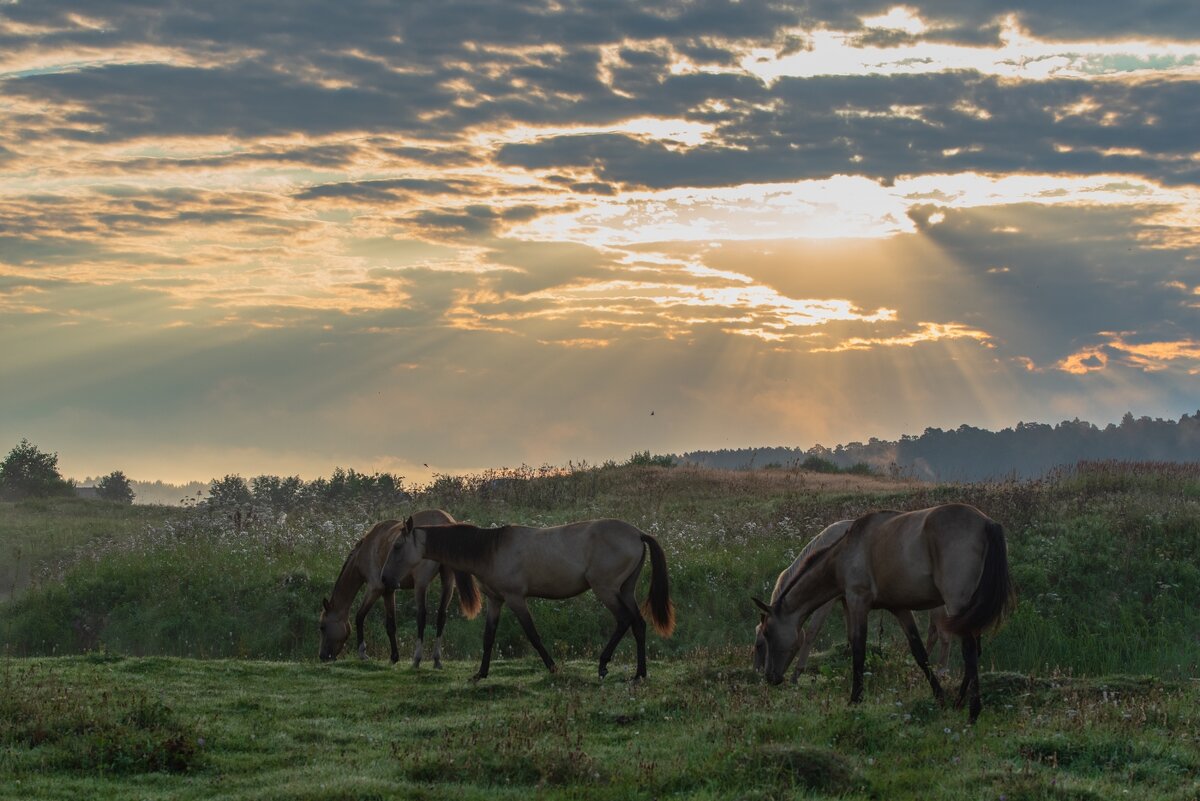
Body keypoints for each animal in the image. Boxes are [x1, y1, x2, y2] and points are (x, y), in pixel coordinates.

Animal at [324, 510, 487, 666]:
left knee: (421, 616)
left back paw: (417, 658)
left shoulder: (376, 588)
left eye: (322, 627)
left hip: (421, 584)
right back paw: (436, 659)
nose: (323, 656)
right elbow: (391, 624)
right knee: (441, 616)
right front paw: (394, 657)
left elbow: (361, 617)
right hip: (447, 581)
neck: (366, 549)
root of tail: (447, 521)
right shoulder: (389, 590)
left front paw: (363, 653)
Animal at [379, 515, 672, 681]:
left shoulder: (515, 599)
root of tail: (638, 534)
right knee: (638, 624)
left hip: (606, 589)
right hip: (625, 590)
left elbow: (533, 635)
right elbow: (489, 637)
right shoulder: (495, 600)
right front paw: (481, 673)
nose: (385, 579)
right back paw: (639, 673)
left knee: (624, 621)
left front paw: (553, 668)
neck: (489, 549)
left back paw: (603, 666)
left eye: (397, 546)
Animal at [748, 520, 955, 681]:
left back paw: (942, 670)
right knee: (933, 632)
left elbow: (812, 632)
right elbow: (850, 634)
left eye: (760, 644)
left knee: (943, 631)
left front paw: (797, 674)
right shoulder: (846, 600)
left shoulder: (827, 601)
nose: (760, 674)